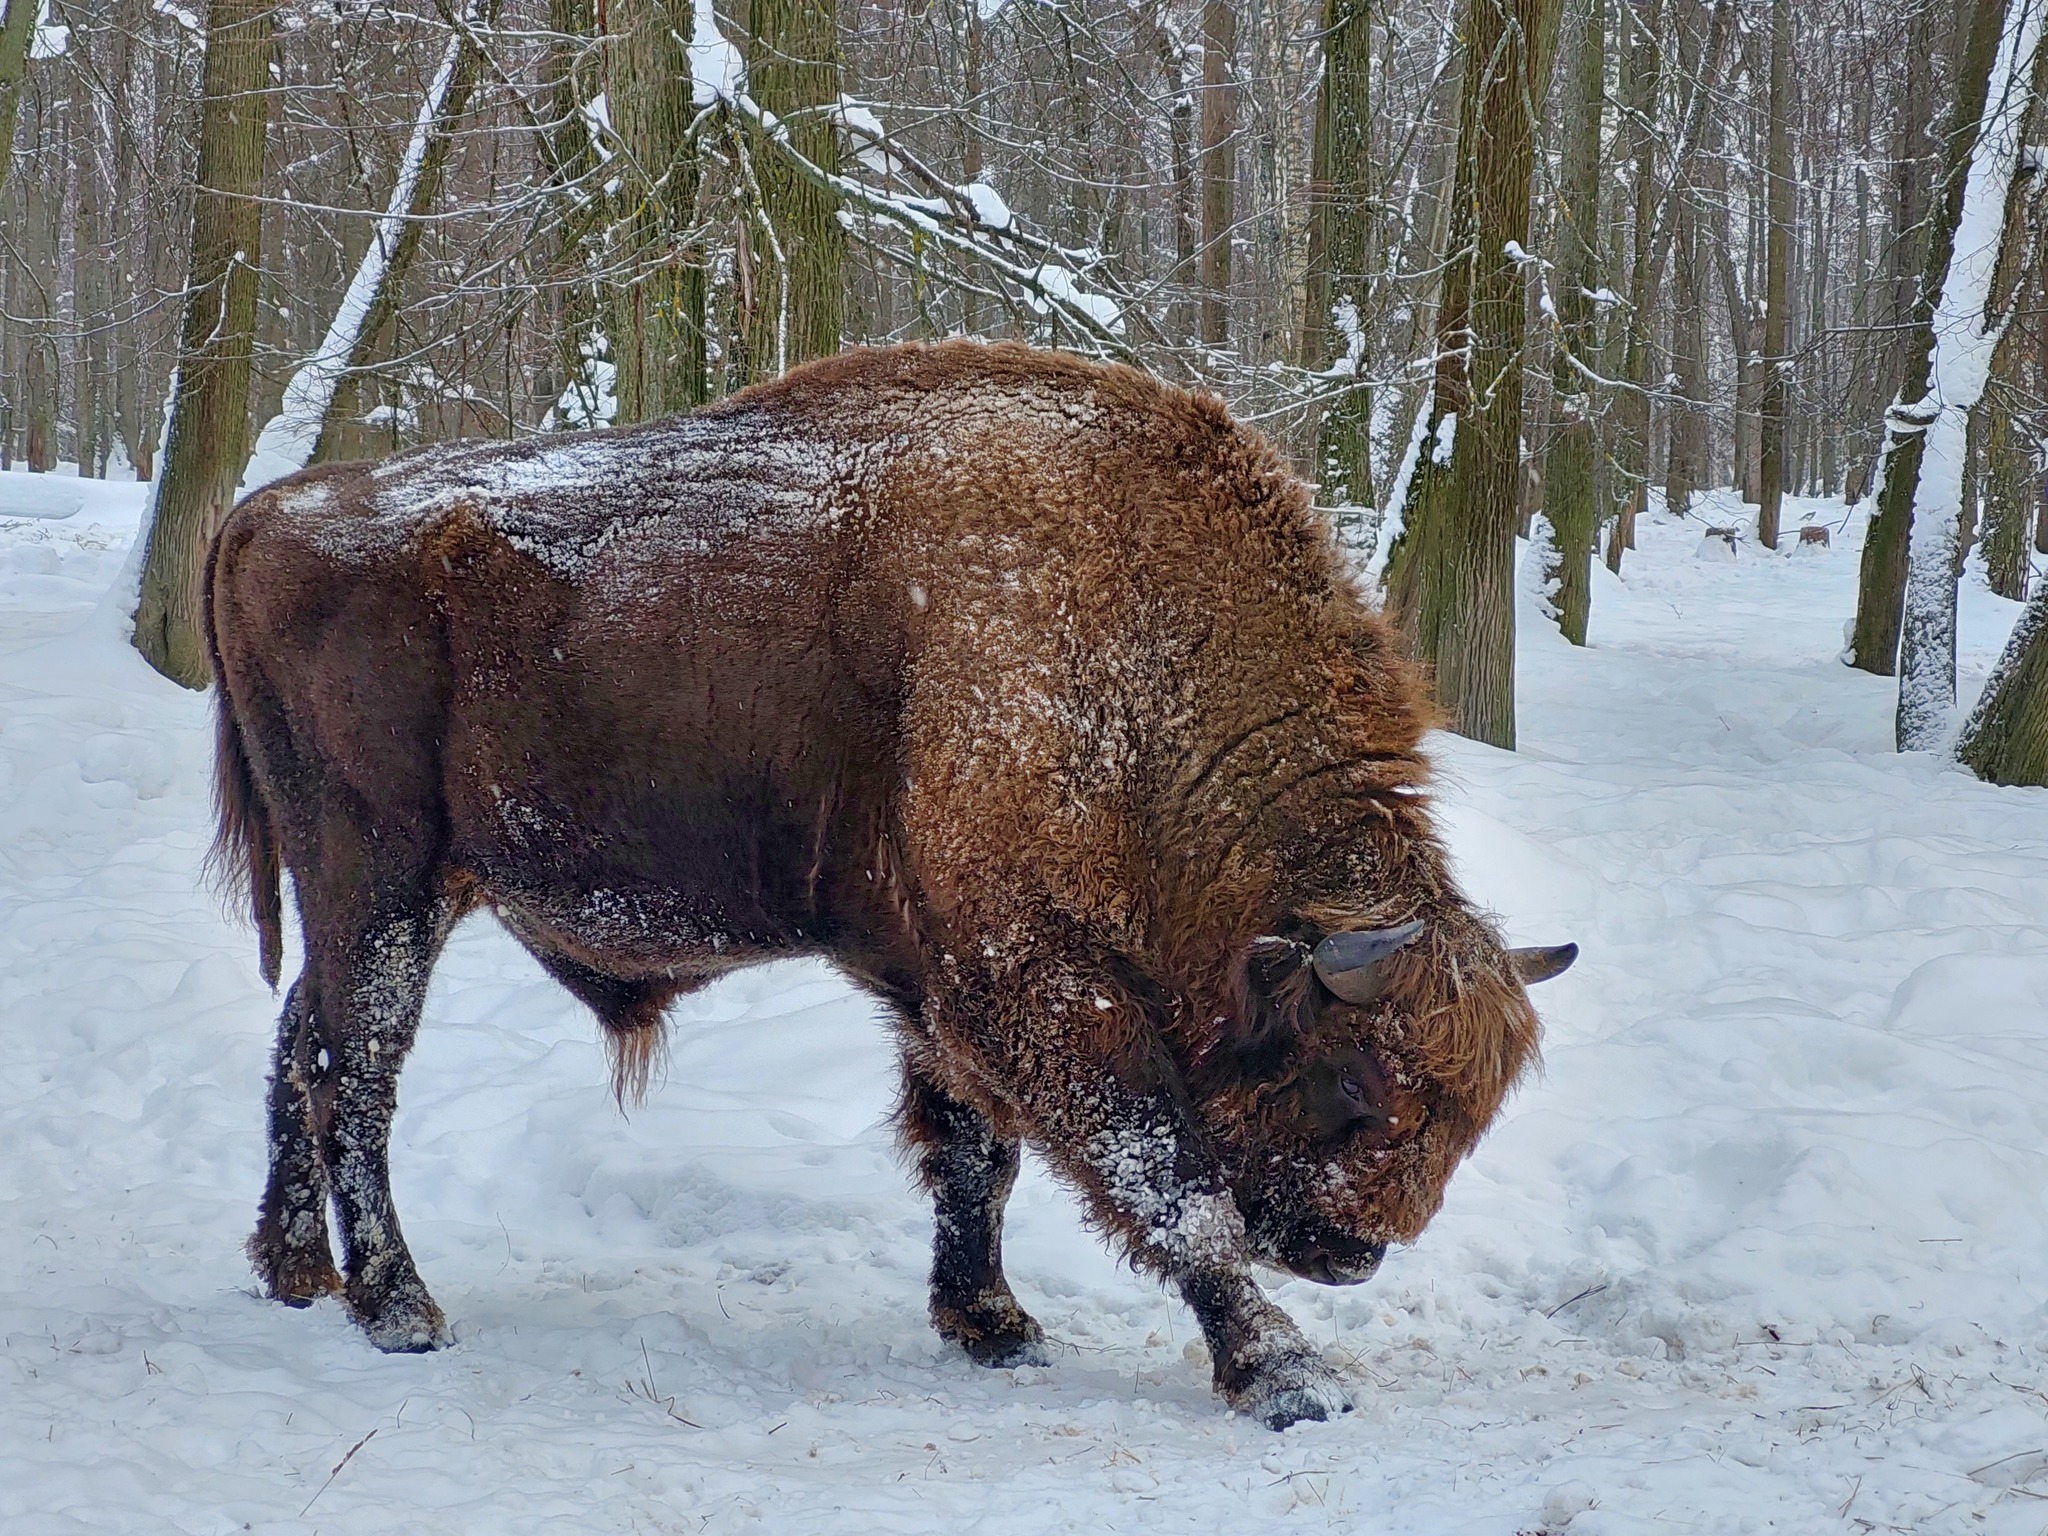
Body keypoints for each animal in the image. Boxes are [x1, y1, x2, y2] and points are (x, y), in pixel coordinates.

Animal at [207, 335, 1572, 1433]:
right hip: (377, 876)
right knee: (353, 1072)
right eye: (1355, 1084)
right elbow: (1169, 1185)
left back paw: (297, 1274)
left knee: (297, 1043)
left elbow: (976, 1153)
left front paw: (991, 1324)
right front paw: (1286, 1377)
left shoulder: (939, 980)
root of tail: (261, 511)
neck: (1129, 646)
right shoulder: (1037, 985)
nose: (1350, 1255)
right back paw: (398, 1308)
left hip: (395, 895)